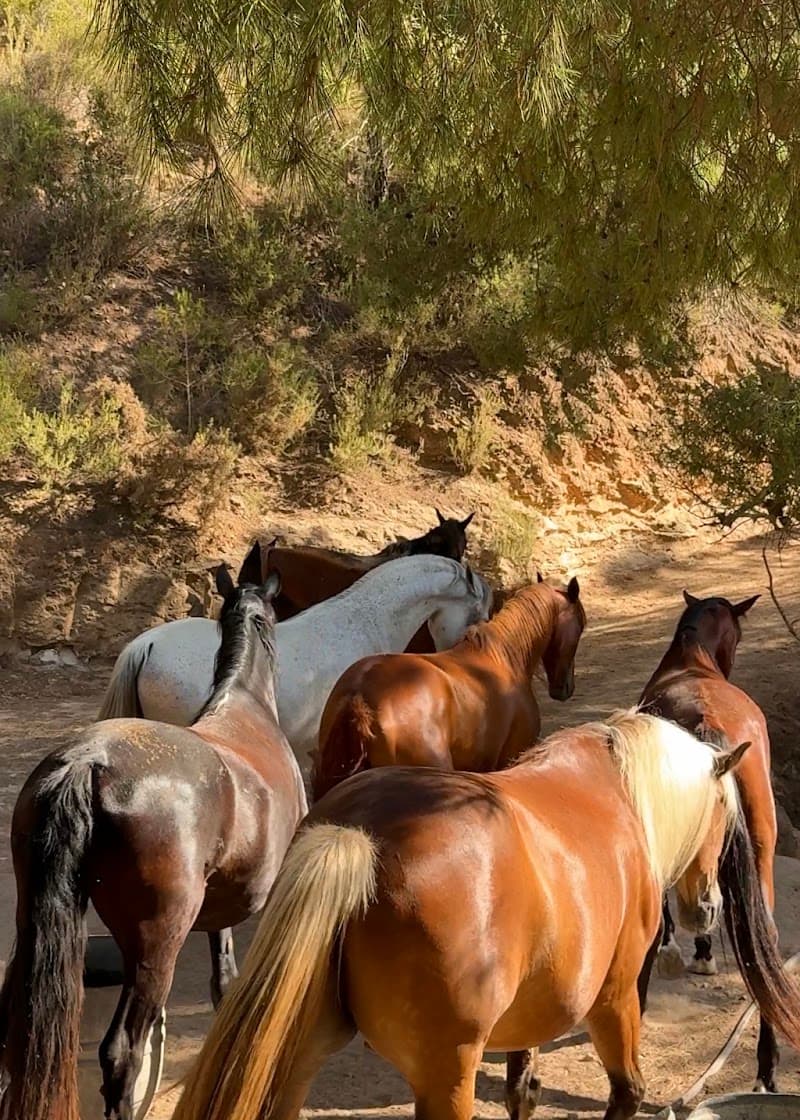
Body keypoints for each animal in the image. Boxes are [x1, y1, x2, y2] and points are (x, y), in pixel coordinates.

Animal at [0, 572, 308, 1120]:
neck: (246, 707)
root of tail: (87, 760)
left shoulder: (220, 908)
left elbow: (224, 980)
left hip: (33, 925)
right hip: (156, 945)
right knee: (123, 1051)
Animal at [170, 710, 800, 1120]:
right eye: (723, 813)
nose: (707, 908)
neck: (617, 791)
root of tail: (360, 834)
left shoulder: (529, 1020)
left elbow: (524, 1091)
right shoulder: (616, 997)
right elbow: (628, 1092)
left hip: (299, 1054)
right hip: (448, 1075)